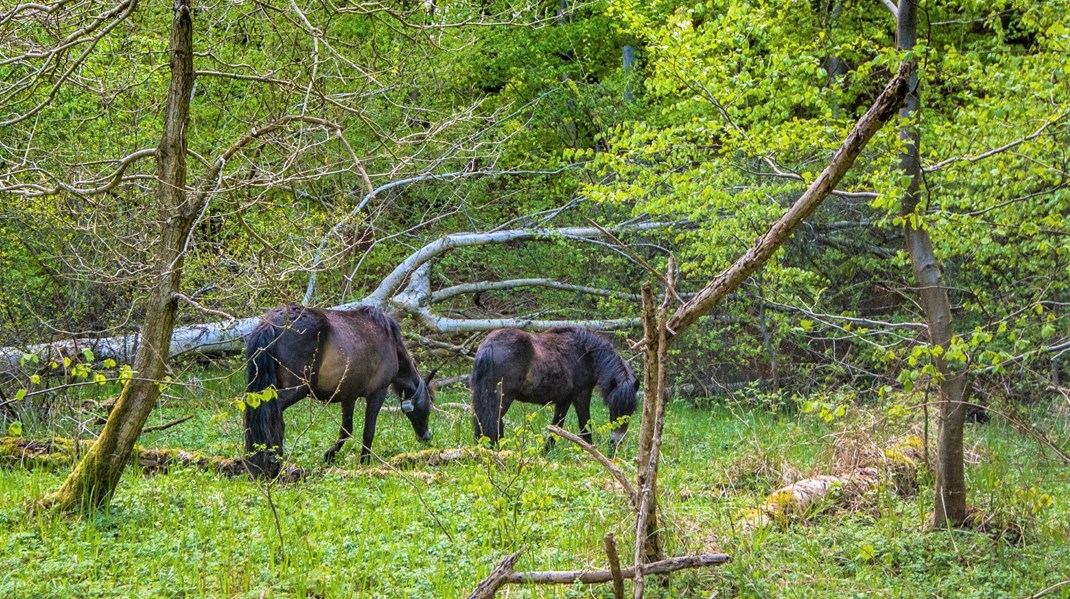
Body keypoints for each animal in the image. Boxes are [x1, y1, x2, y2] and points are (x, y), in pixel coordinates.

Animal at [246, 303, 434, 477]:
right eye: (429, 405)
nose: (427, 437)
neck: (392, 343)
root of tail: (270, 323)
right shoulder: (377, 393)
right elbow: (368, 431)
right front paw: (364, 461)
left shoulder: (348, 396)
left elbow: (346, 429)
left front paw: (330, 455)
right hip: (296, 389)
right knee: (274, 414)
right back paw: (275, 458)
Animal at [472, 325, 637, 447]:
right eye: (613, 408)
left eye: (632, 411)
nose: (616, 442)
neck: (585, 353)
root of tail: (489, 346)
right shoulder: (581, 395)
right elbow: (585, 426)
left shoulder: (564, 400)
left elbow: (556, 427)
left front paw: (546, 451)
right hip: (502, 399)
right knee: (493, 424)